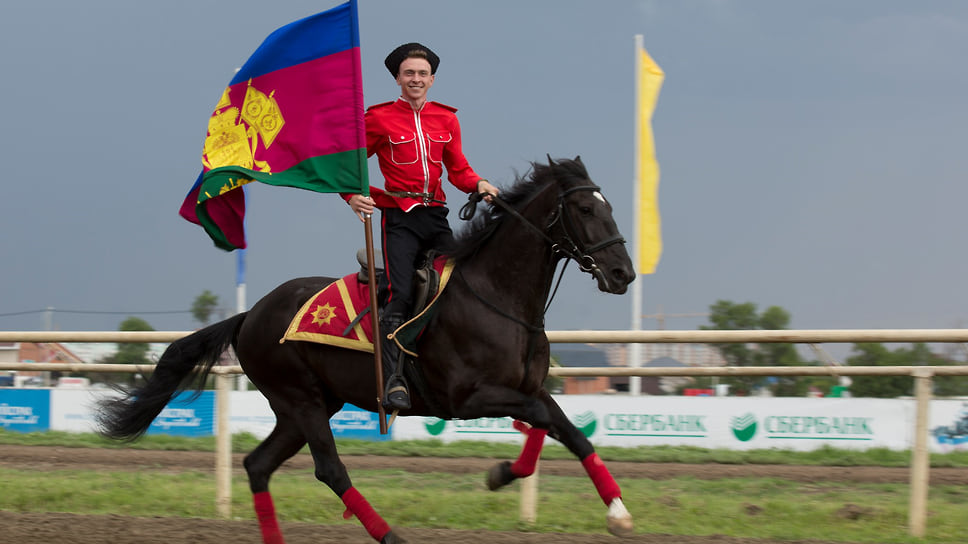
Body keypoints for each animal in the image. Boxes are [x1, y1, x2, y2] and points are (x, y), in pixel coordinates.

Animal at [98, 155, 640, 540]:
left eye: (611, 207)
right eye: (586, 209)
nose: (623, 273)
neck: (498, 297)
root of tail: (248, 316)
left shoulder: (527, 386)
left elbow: (565, 430)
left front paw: (609, 508)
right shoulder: (468, 397)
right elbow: (546, 420)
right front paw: (508, 475)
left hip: (305, 406)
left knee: (258, 465)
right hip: (301, 399)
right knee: (330, 469)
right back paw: (391, 536)